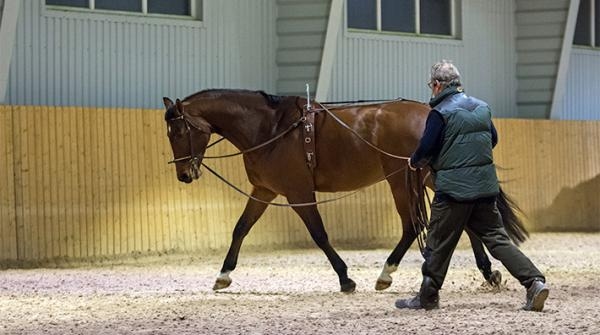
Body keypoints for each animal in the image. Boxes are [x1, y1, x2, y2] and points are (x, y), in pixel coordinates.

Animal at [162, 89, 528, 294]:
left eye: (178, 131)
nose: (183, 174)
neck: (271, 129)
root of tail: (435, 112)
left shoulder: (298, 193)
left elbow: (319, 235)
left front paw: (345, 279)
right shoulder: (264, 191)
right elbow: (240, 228)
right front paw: (223, 276)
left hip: (402, 179)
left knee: (412, 227)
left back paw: (386, 274)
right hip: (428, 177)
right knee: (465, 215)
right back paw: (489, 272)